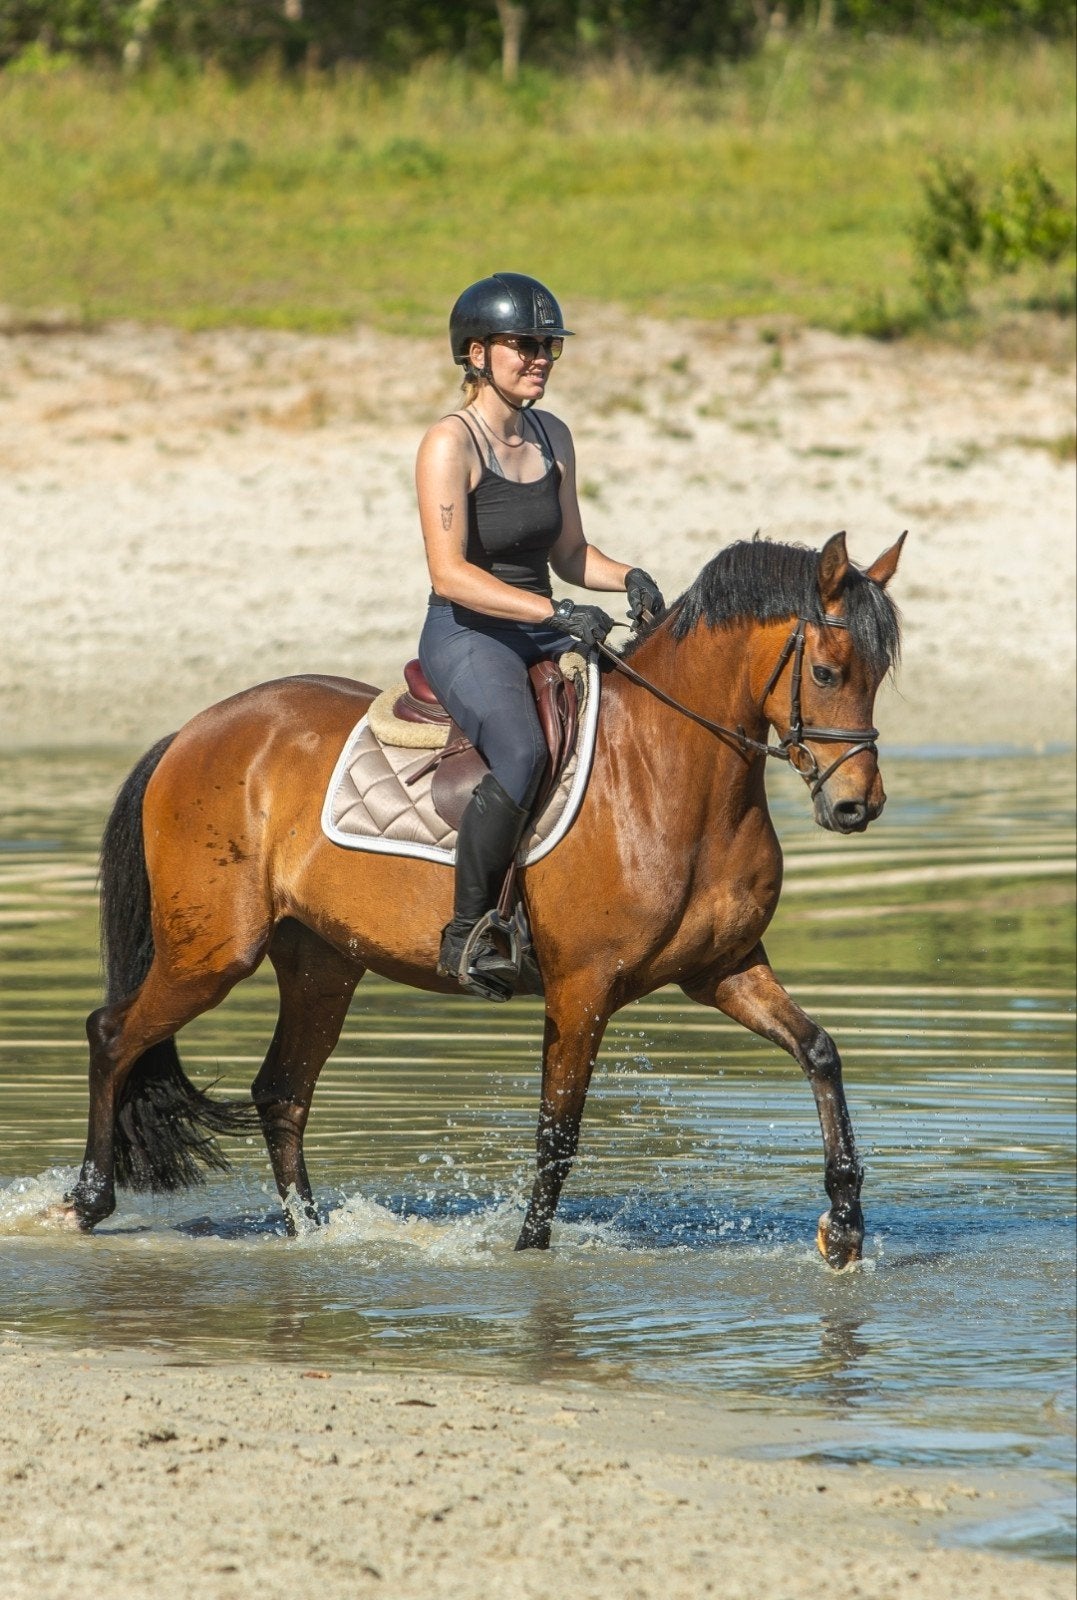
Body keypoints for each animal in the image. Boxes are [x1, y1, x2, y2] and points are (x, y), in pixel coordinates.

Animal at [60, 530, 904, 1268]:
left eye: (877, 676)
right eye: (827, 674)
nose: (857, 808)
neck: (670, 772)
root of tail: (193, 730)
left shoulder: (724, 969)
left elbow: (819, 1053)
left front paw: (843, 1227)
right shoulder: (581, 988)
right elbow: (557, 1135)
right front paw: (528, 1255)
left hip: (322, 963)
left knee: (281, 1092)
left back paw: (312, 1233)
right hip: (211, 953)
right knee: (113, 1035)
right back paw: (89, 1200)